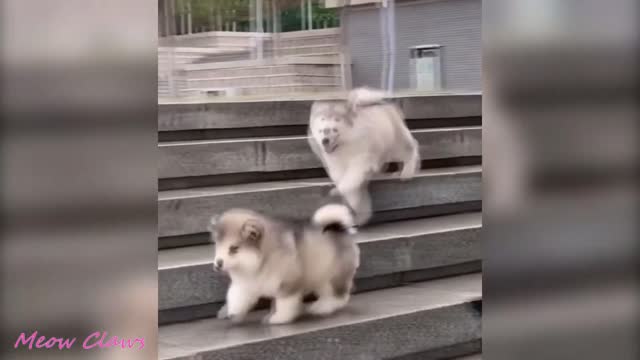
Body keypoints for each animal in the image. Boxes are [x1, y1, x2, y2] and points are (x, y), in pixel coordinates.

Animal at [211, 204, 358, 324]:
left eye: (233, 248)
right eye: (217, 246)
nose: (217, 264)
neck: (262, 260)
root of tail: (340, 229)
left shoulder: (288, 284)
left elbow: (284, 304)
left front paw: (279, 318)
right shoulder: (245, 284)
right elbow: (236, 296)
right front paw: (231, 312)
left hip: (330, 278)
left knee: (339, 296)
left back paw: (323, 307)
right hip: (320, 278)